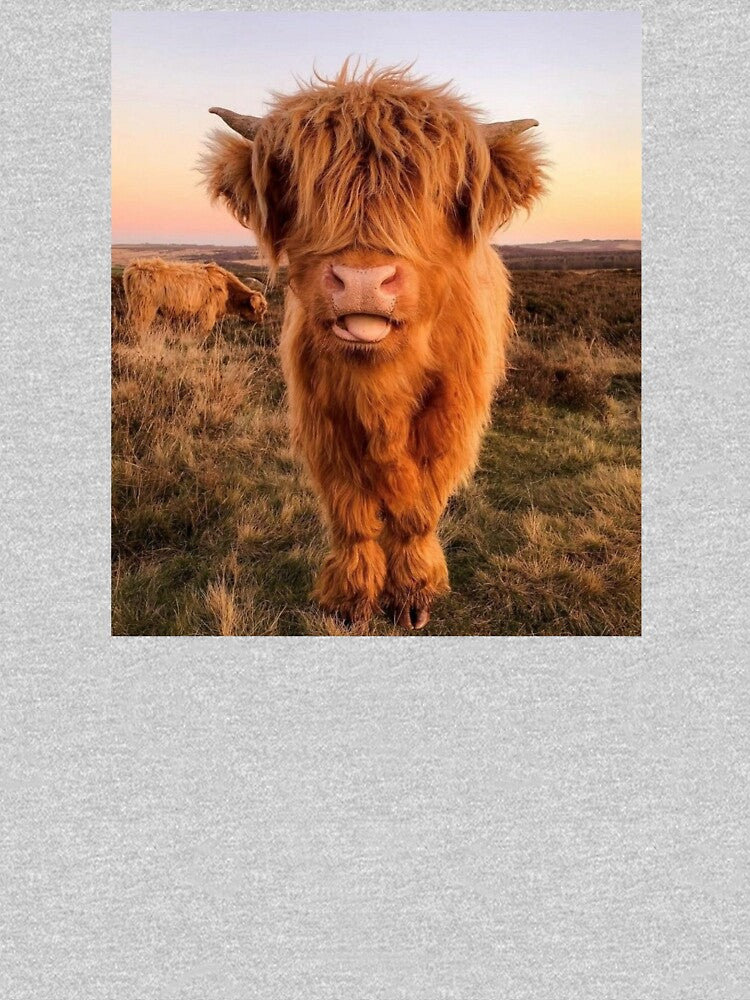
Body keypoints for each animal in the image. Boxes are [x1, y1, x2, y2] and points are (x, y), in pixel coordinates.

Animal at [122, 258, 267, 335]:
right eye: (261, 309)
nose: (261, 321)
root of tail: (135, 267)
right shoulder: (207, 312)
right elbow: (203, 331)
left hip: (134, 305)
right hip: (144, 306)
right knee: (138, 323)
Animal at [202, 64, 545, 629]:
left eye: (436, 192)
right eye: (303, 188)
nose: (363, 281)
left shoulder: (449, 421)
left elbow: (418, 511)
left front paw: (412, 595)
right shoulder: (324, 419)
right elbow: (353, 514)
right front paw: (352, 600)